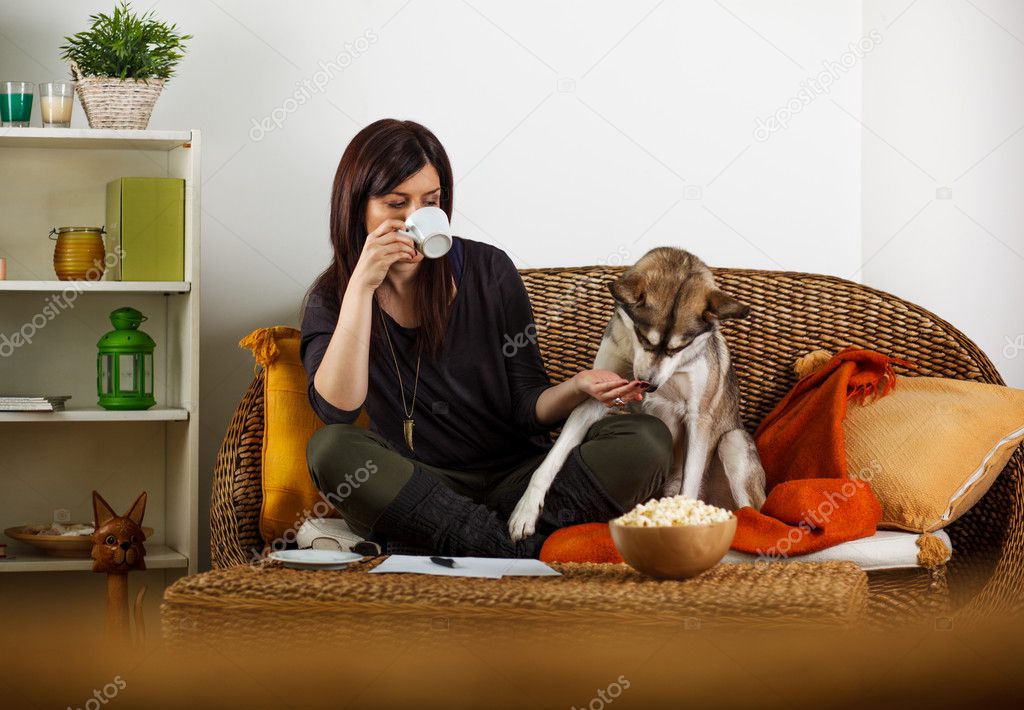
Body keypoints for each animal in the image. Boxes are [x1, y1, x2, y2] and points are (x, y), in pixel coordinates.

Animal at [507, 246, 765, 540]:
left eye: (679, 348)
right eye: (643, 337)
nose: (649, 384)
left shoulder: (698, 417)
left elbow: (689, 483)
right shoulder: (597, 395)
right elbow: (550, 461)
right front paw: (525, 511)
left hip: (732, 441)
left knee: (750, 510)